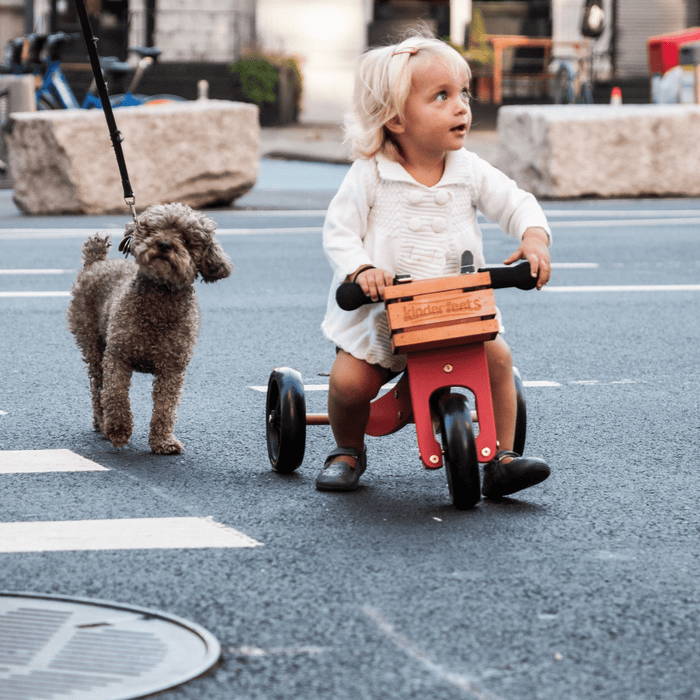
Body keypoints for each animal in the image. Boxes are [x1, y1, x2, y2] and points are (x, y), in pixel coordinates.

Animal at [67, 202, 232, 454]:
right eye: (153, 230)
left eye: (186, 239)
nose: (163, 244)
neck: (159, 299)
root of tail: (96, 262)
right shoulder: (117, 356)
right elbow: (115, 395)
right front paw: (119, 430)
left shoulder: (172, 368)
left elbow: (165, 407)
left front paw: (163, 441)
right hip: (92, 342)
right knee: (98, 387)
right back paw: (103, 424)